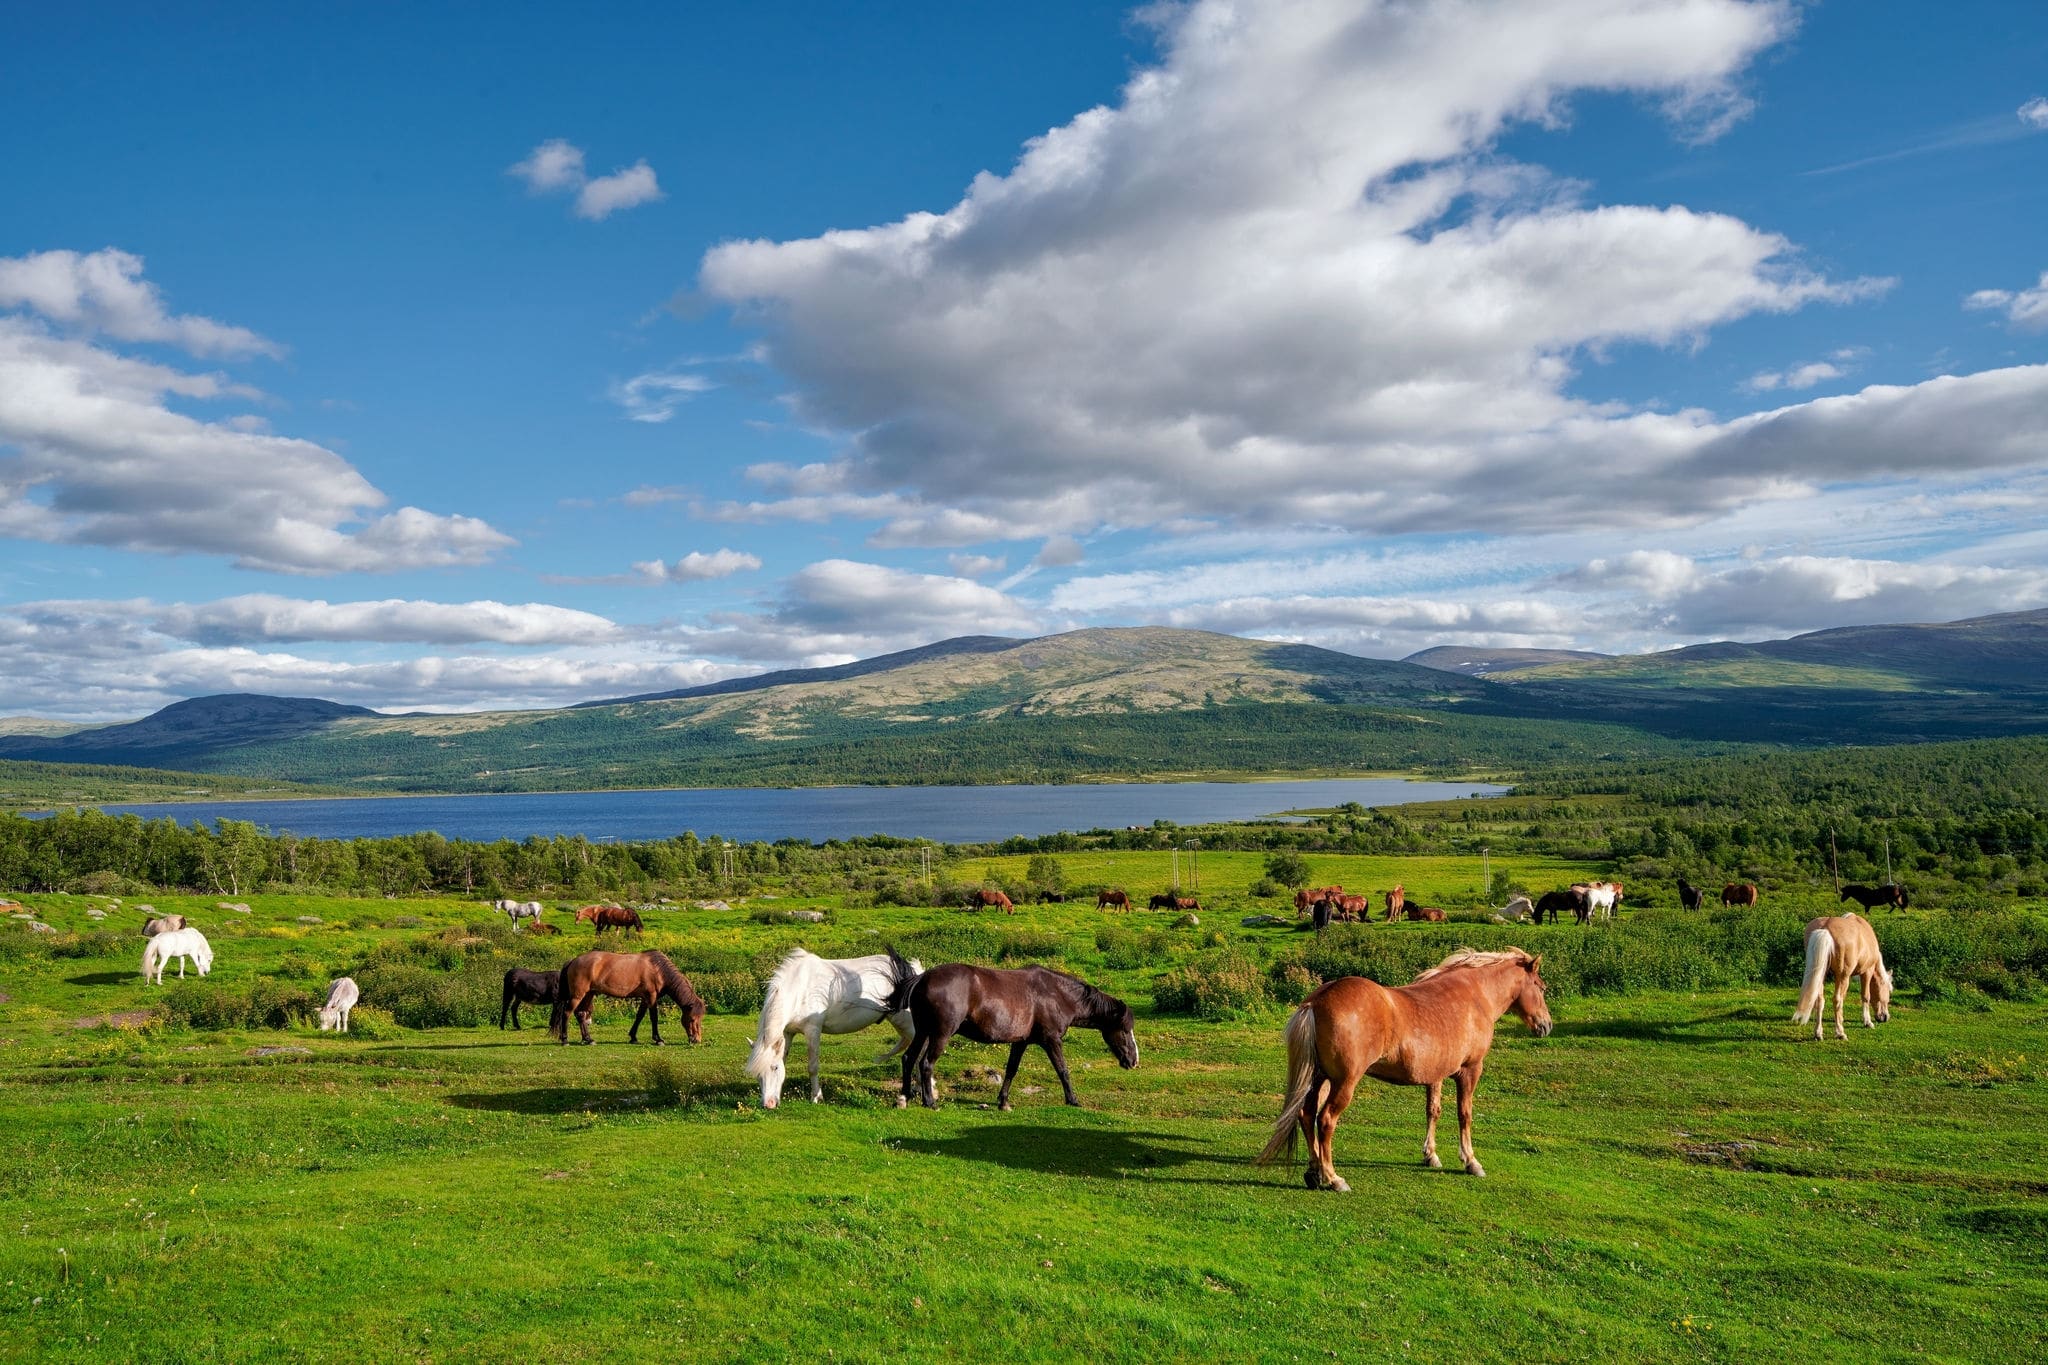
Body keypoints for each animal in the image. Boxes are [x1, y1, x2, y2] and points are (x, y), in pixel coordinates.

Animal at [548, 951, 705, 1046]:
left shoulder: (645, 998)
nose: (697, 1039)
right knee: (567, 1013)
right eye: (692, 1019)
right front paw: (658, 1039)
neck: (658, 969)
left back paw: (588, 1039)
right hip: (578, 995)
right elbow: (654, 1017)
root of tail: (573, 960)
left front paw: (633, 1037)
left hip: (588, 994)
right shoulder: (652, 997)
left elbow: (639, 1016)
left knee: (581, 1014)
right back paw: (565, 1040)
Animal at [747, 947, 923, 1108]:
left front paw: (816, 1097)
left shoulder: (813, 1030)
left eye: (774, 1068)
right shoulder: (788, 1032)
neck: (799, 989)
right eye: (758, 1074)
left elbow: (812, 1066)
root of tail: (915, 971)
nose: (768, 1104)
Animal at [898, 964, 1138, 1110]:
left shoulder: (1020, 1042)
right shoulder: (1052, 1041)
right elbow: (1063, 1070)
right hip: (940, 1034)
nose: (1134, 1061)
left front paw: (1003, 1102)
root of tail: (922, 979)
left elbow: (1011, 1070)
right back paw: (929, 1102)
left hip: (923, 1032)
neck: (1057, 995)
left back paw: (904, 1097)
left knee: (909, 1059)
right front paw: (1073, 1099)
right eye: (1125, 1030)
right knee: (926, 1063)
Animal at [1256, 948, 1552, 1190]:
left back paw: (1314, 1173)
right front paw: (1471, 1161)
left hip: (1318, 1079)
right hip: (1343, 1082)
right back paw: (1333, 1178)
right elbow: (1464, 1115)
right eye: (1541, 987)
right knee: (1326, 1120)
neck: (1476, 996)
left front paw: (1431, 1155)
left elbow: (1433, 1111)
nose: (1546, 1025)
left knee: (1306, 1115)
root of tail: (1316, 1001)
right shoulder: (1470, 1070)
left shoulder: (1436, 1074)